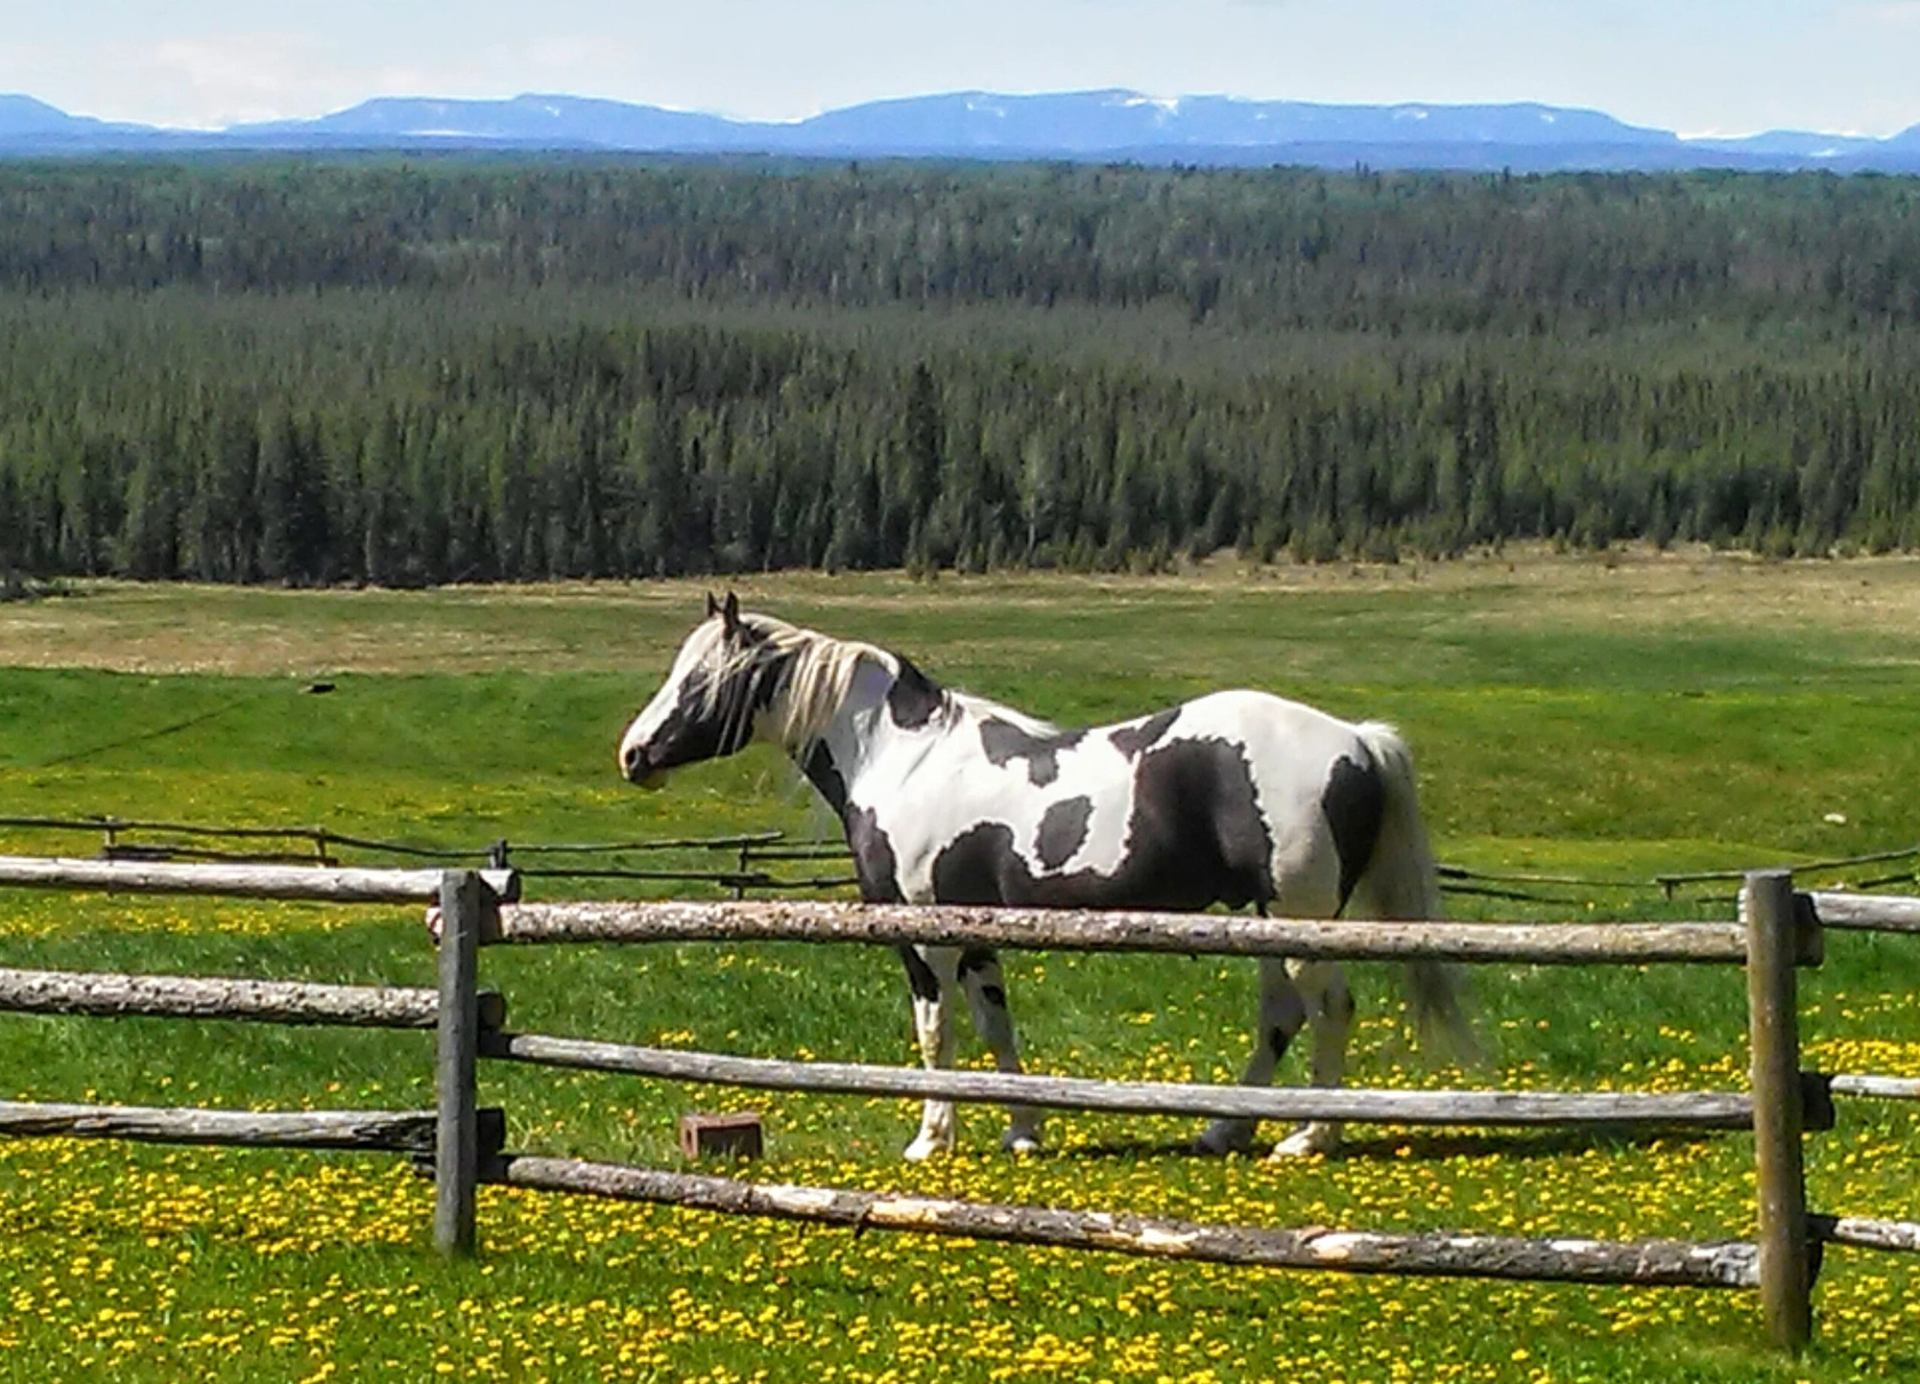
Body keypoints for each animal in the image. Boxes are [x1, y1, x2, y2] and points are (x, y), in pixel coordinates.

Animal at [618, 592, 1468, 1161]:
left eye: (699, 681)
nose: (633, 755)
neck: (902, 757)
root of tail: (1356, 737)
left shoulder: (923, 937)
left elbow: (935, 1032)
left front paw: (933, 1139)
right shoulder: (975, 937)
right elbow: (996, 1028)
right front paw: (1023, 1130)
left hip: (1299, 920)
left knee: (1329, 1011)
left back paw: (1310, 1138)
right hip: (1262, 920)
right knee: (1281, 1017)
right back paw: (1224, 1128)